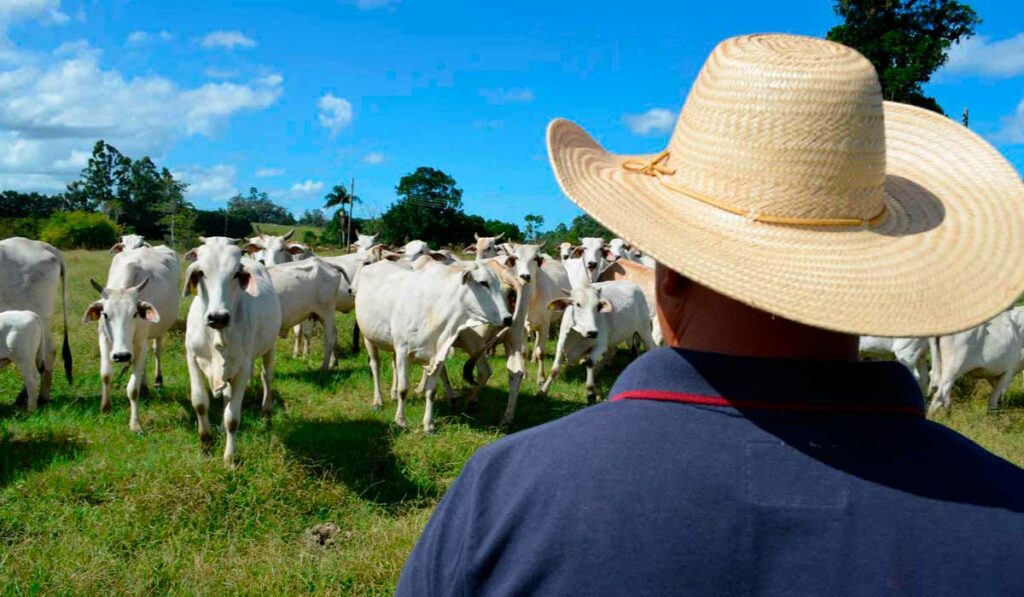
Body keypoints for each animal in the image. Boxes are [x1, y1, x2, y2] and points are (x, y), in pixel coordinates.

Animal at [83, 245, 182, 432]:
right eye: (105, 314)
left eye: (135, 313)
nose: (122, 355)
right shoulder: (104, 339)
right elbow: (105, 375)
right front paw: (105, 408)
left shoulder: (141, 343)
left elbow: (132, 389)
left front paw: (135, 424)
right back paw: (145, 387)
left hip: (159, 331)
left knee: (156, 352)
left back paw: (157, 381)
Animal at [182, 240, 282, 464]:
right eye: (201, 272)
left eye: (237, 273)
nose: (218, 317)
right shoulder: (192, 358)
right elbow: (200, 402)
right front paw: (206, 443)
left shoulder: (243, 368)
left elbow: (233, 418)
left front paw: (229, 458)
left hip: (269, 347)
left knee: (267, 376)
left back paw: (267, 409)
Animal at [356, 259, 512, 432]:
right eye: (483, 283)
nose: (508, 318)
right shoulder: (403, 350)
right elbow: (404, 389)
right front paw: (401, 420)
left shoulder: (437, 354)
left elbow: (431, 391)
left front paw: (428, 424)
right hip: (368, 337)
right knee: (375, 366)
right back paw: (378, 401)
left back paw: (393, 394)